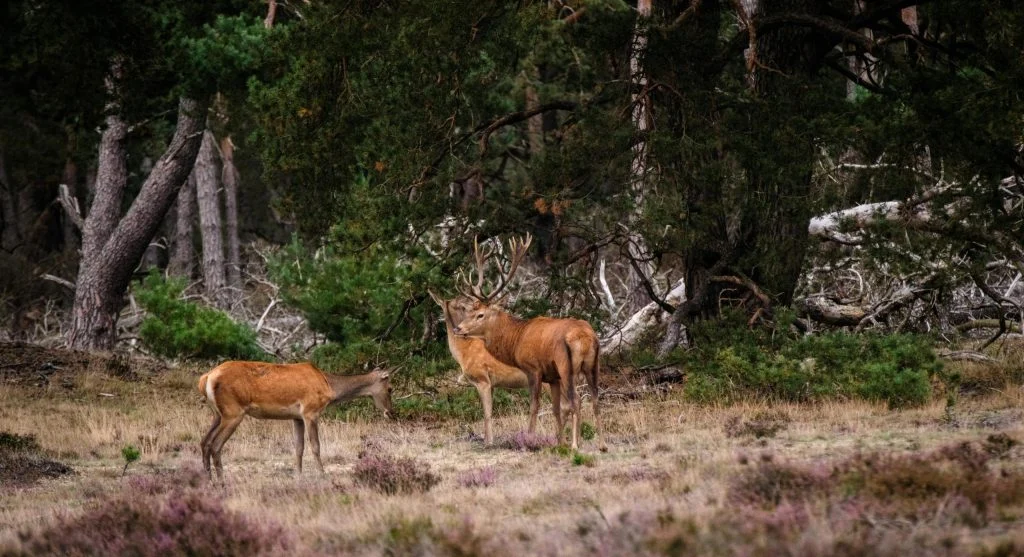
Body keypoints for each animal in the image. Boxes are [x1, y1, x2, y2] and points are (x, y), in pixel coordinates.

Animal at [197, 361, 393, 479]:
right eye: (390, 388)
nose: (391, 413)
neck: (329, 388)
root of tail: (206, 378)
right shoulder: (310, 411)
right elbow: (315, 446)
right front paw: (322, 474)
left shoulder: (296, 418)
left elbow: (299, 448)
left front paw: (298, 476)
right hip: (233, 412)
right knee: (215, 445)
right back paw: (221, 480)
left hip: (218, 413)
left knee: (204, 442)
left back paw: (208, 478)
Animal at [428, 290, 531, 445]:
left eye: (463, 306)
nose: (457, 328)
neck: (464, 351)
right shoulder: (492, 383)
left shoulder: (482, 379)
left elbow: (487, 413)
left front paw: (488, 442)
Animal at [452, 233, 603, 451]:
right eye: (469, 311)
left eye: (480, 315)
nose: (458, 328)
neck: (517, 339)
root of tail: (585, 337)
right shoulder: (552, 376)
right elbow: (556, 409)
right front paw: (559, 441)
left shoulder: (533, 369)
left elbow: (534, 406)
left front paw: (529, 439)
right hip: (593, 365)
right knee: (594, 399)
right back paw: (601, 444)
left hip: (567, 366)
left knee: (575, 400)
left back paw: (576, 445)